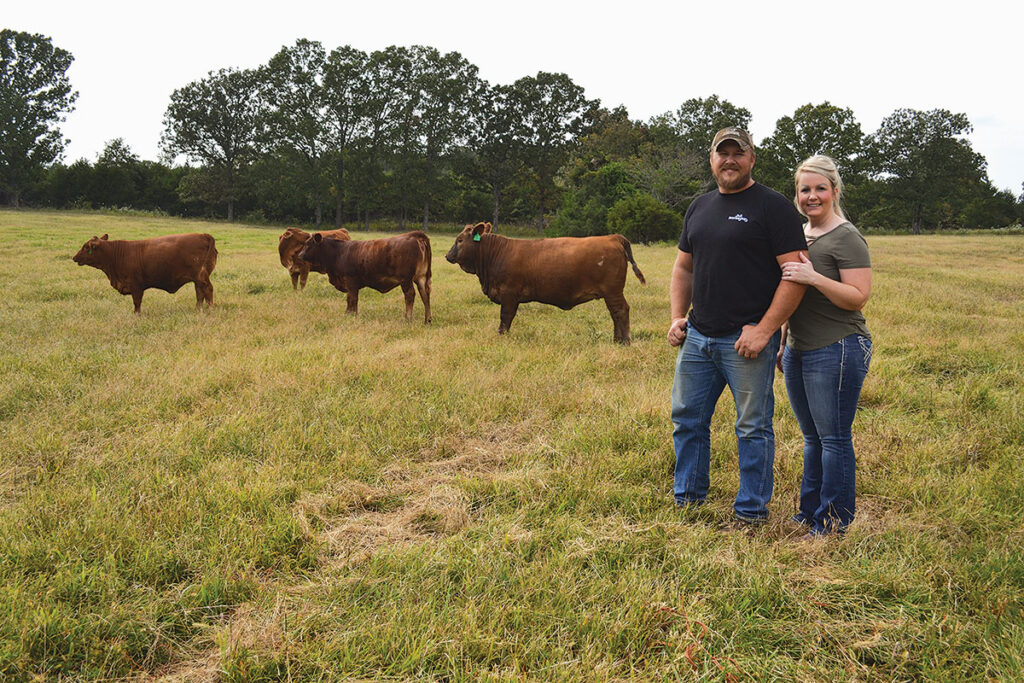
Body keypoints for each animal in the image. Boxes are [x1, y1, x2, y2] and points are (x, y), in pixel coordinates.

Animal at [73, 232, 218, 313]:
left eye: (85, 247)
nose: (74, 257)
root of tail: (203, 235)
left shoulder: (136, 286)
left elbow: (137, 302)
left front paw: (137, 315)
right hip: (197, 279)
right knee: (200, 293)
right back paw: (198, 310)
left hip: (201, 276)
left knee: (208, 290)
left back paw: (210, 309)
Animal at [299, 231, 436, 325]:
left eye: (309, 244)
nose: (300, 255)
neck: (338, 253)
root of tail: (415, 235)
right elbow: (351, 300)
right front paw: (351, 314)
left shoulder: (350, 281)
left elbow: (352, 299)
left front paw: (350, 315)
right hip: (421, 277)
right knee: (425, 295)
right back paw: (427, 320)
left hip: (406, 280)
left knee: (410, 295)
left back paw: (408, 318)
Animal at [444, 223, 643, 344]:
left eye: (459, 240)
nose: (447, 256)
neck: (496, 253)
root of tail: (612, 237)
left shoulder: (509, 294)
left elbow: (505, 317)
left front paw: (501, 335)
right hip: (610, 293)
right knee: (615, 313)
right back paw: (616, 340)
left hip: (613, 291)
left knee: (621, 311)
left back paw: (625, 341)